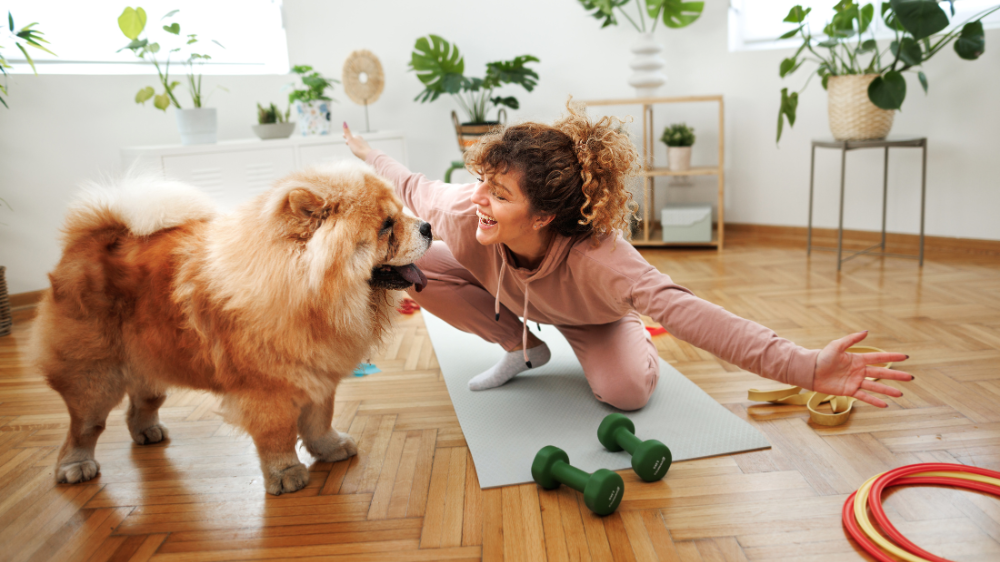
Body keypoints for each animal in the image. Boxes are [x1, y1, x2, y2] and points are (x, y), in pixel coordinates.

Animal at [30, 160, 430, 492]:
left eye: (399, 213)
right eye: (386, 226)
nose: (426, 226)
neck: (309, 292)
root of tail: (89, 237)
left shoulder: (318, 374)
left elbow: (319, 420)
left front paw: (330, 448)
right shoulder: (267, 388)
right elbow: (278, 434)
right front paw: (286, 474)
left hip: (151, 359)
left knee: (142, 401)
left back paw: (147, 431)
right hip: (95, 376)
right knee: (84, 426)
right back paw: (75, 466)